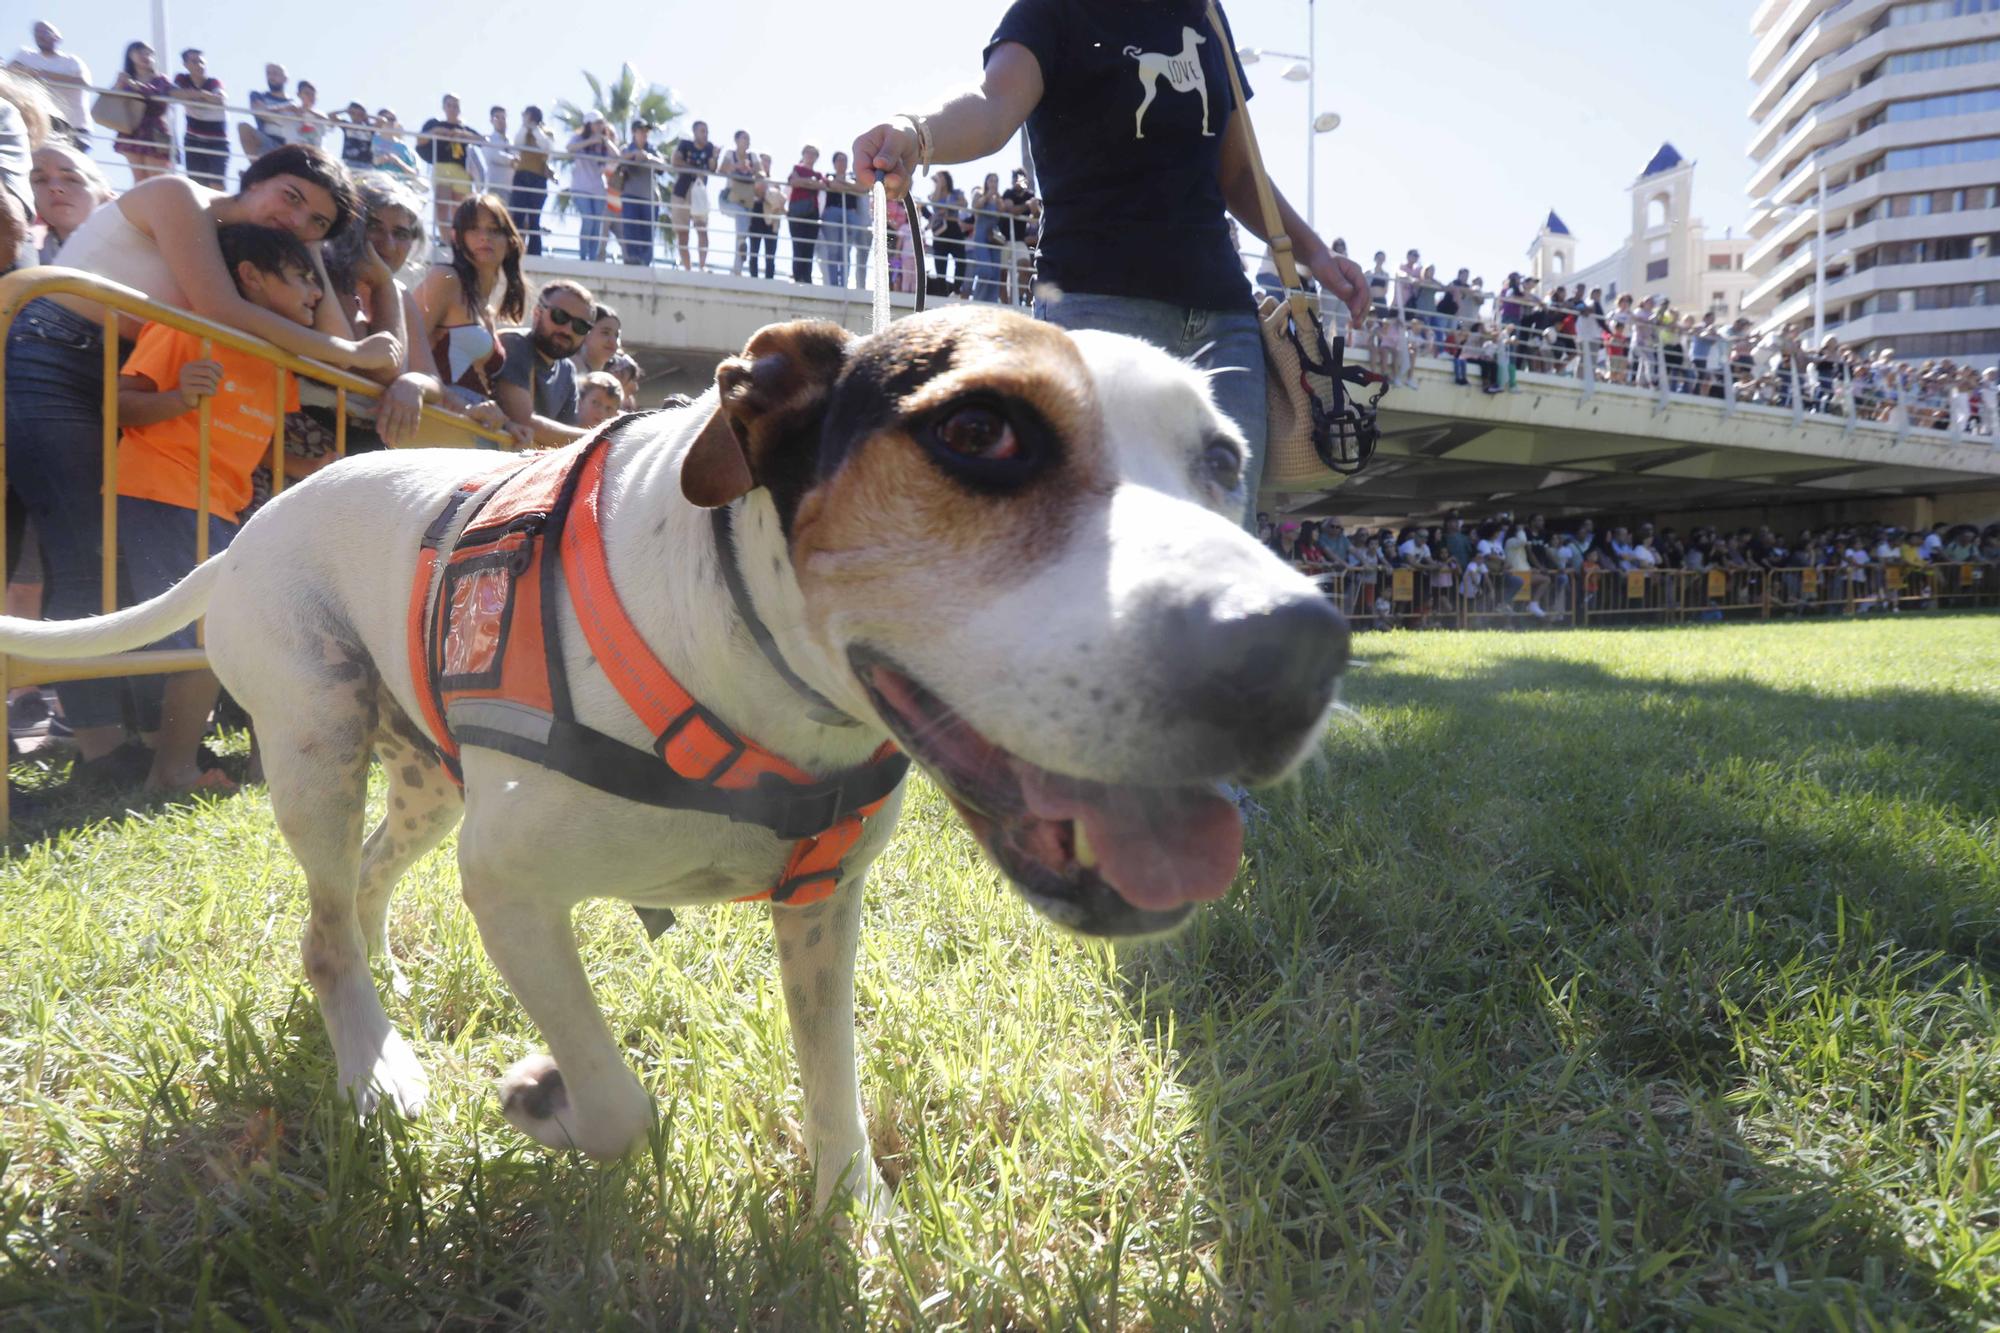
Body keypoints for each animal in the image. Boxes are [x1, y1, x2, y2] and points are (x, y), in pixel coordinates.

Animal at [0, 308, 1352, 1216]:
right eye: (977, 429)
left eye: (1223, 458)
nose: (1296, 649)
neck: (750, 674)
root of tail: (249, 530)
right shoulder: (512, 886)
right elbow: (614, 1102)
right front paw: (541, 1097)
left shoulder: (823, 908)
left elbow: (832, 1080)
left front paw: (855, 1220)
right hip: (318, 736)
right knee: (324, 926)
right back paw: (375, 1065)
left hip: (423, 776)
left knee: (365, 887)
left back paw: (381, 990)